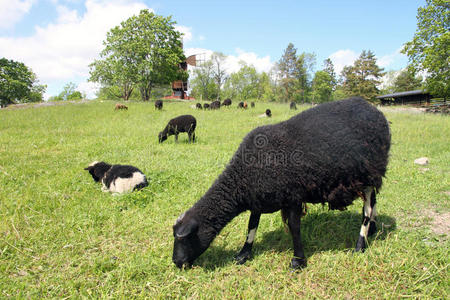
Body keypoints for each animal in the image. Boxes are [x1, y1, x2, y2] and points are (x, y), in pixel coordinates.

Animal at [172, 98, 390, 270]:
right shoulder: (257, 198)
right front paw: (244, 254)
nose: (176, 262)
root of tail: (375, 110)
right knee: (374, 203)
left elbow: (294, 227)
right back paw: (372, 230)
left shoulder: (292, 196)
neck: (242, 178)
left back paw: (360, 244)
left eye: (184, 238)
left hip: (369, 174)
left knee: (367, 210)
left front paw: (298, 261)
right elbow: (252, 225)